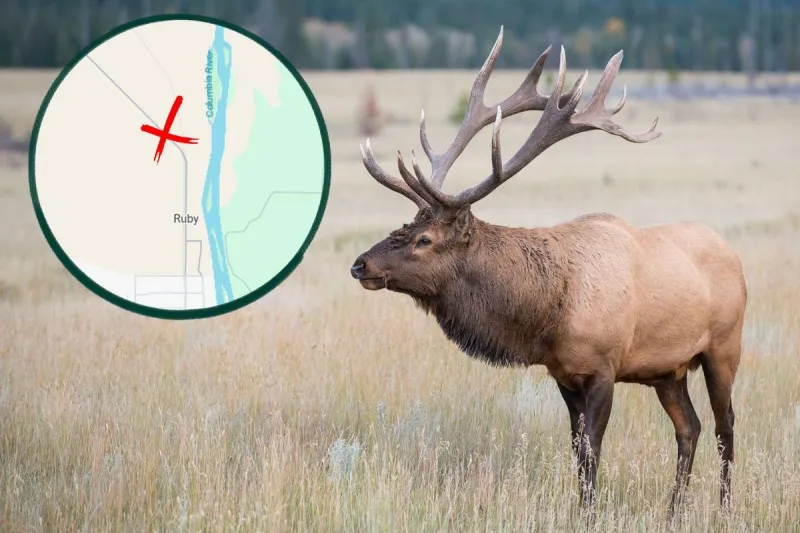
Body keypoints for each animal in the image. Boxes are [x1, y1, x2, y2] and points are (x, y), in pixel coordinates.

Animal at [349, 27, 747, 518]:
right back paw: (674, 511)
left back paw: (725, 508)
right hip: (668, 370)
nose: (360, 263)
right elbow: (576, 452)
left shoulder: (603, 368)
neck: (550, 314)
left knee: (725, 425)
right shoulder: (562, 375)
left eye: (424, 239)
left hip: (724, 346)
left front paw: (590, 514)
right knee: (689, 427)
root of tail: (733, 254)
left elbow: (592, 451)